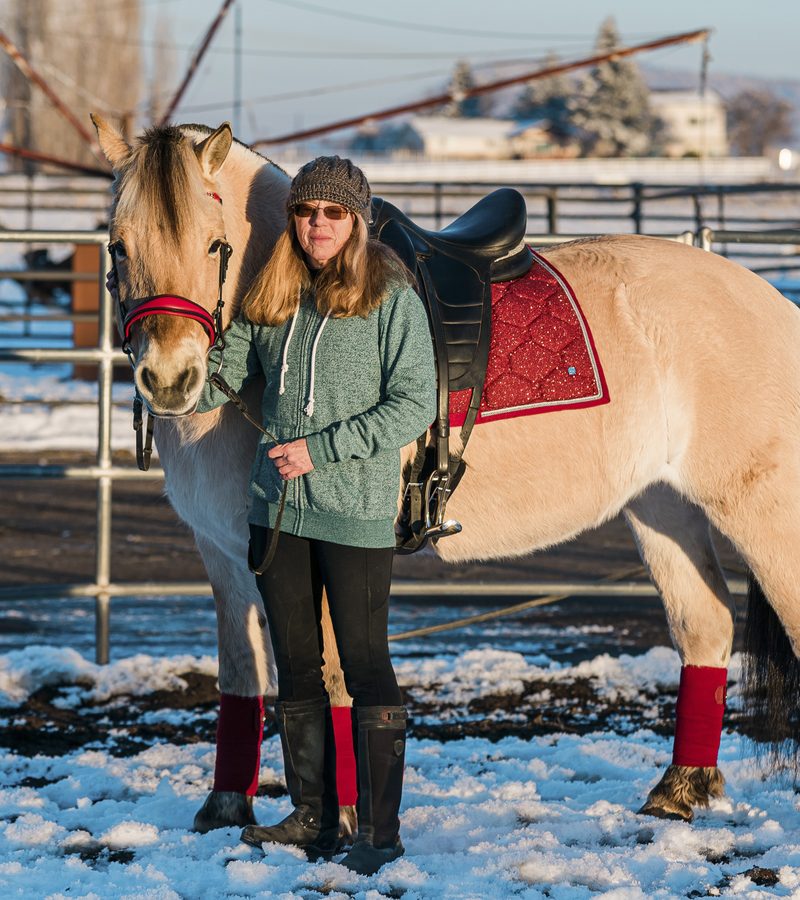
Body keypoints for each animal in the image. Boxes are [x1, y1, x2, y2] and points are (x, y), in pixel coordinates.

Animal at [91, 115, 800, 830]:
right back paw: (680, 788)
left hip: (758, 505)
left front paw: (344, 821)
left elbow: (337, 680)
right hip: (661, 504)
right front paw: (224, 809)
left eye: (215, 246)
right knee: (705, 626)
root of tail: (769, 301)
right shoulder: (226, 552)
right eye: (118, 248)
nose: (170, 380)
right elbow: (240, 674)